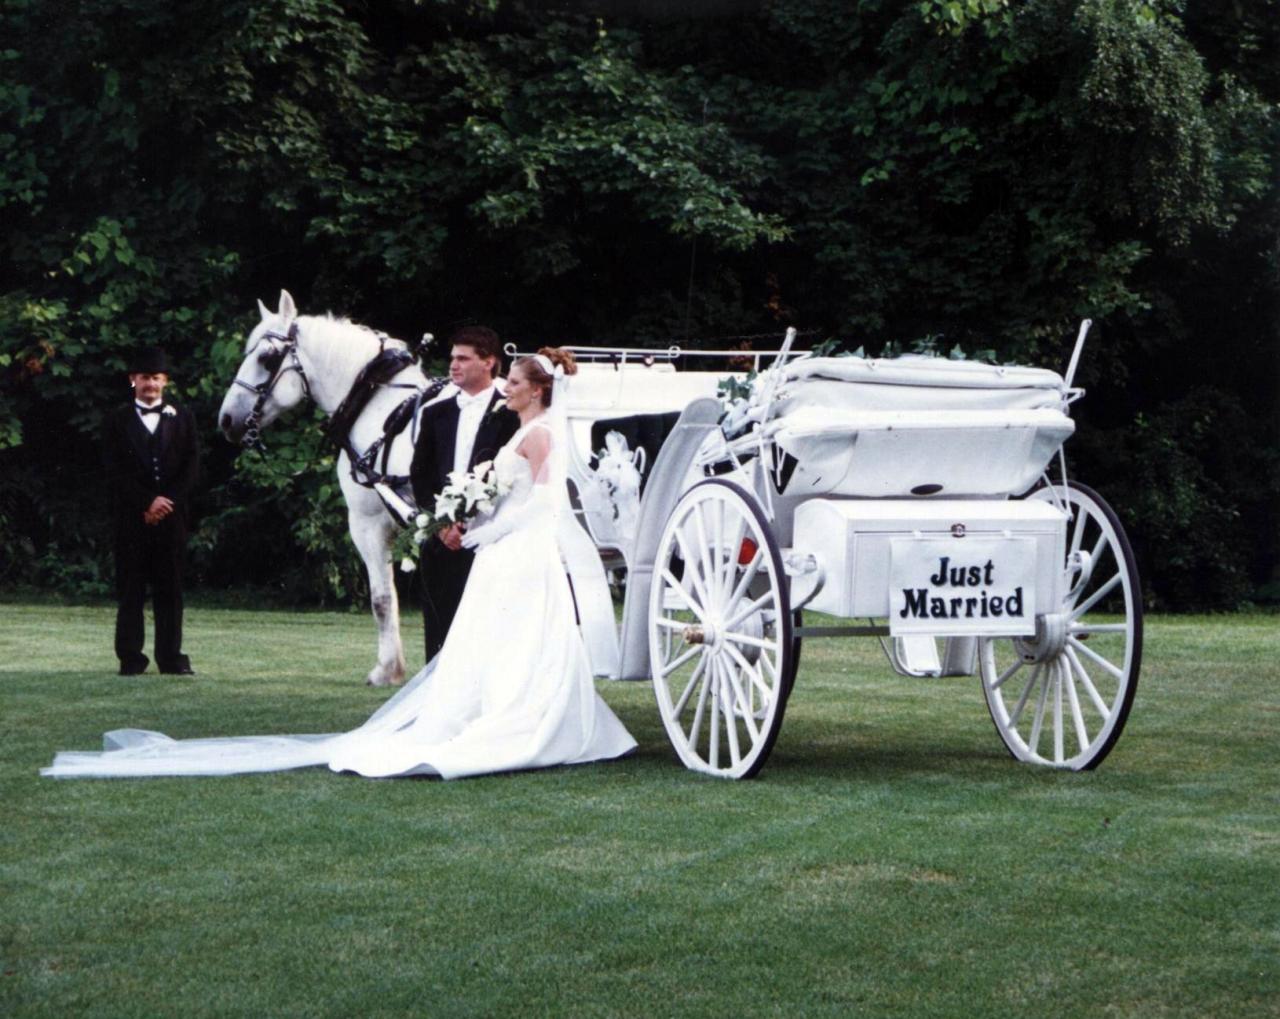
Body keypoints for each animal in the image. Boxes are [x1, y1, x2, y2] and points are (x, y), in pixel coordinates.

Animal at [218, 290, 448, 686]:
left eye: (266, 358)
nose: (227, 419)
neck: (375, 404)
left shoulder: (368, 523)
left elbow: (382, 599)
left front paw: (387, 669)